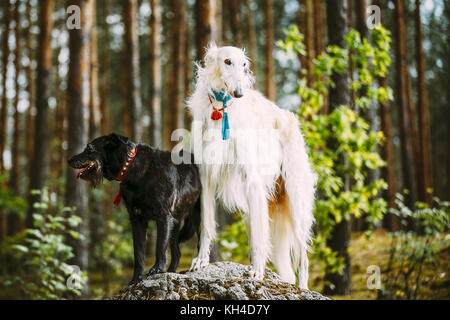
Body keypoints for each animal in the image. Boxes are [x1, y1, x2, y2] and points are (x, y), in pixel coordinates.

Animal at [67, 134, 200, 288]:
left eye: (89, 149)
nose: (69, 160)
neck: (130, 167)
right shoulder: (137, 220)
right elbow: (138, 254)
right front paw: (135, 280)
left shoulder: (163, 217)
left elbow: (160, 246)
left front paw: (157, 269)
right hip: (175, 224)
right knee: (177, 253)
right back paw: (171, 272)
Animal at [186, 43, 316, 288]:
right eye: (227, 61)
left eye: (244, 64)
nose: (239, 93)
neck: (222, 110)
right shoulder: (206, 176)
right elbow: (206, 225)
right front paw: (201, 260)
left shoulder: (253, 180)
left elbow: (259, 239)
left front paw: (257, 271)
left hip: (295, 200)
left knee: (303, 258)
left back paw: (303, 288)